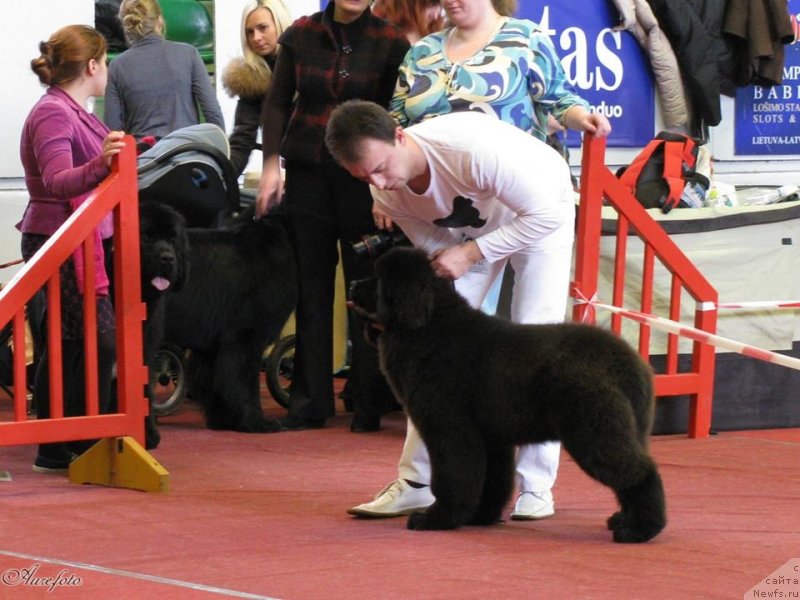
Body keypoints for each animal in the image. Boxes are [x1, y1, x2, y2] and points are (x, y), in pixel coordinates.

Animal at [140, 202, 296, 436]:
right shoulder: (245, 338)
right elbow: (244, 383)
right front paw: (257, 422)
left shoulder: (214, 345)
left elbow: (215, 382)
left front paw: (223, 421)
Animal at [350, 247, 668, 544]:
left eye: (378, 278)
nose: (352, 283)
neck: (429, 326)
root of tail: (625, 362)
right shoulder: (490, 437)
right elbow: (492, 481)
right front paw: (480, 516)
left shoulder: (450, 430)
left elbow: (453, 477)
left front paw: (437, 518)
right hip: (627, 428)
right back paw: (623, 520)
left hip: (594, 430)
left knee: (639, 473)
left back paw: (639, 530)